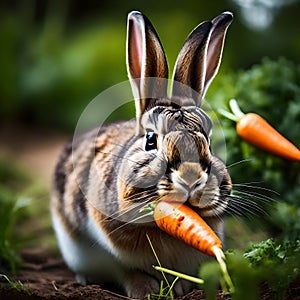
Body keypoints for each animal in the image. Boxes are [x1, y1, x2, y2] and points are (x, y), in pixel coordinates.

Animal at [51, 10, 234, 298]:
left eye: (209, 142)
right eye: (150, 140)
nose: (191, 178)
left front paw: (180, 287)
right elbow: (127, 271)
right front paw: (145, 290)